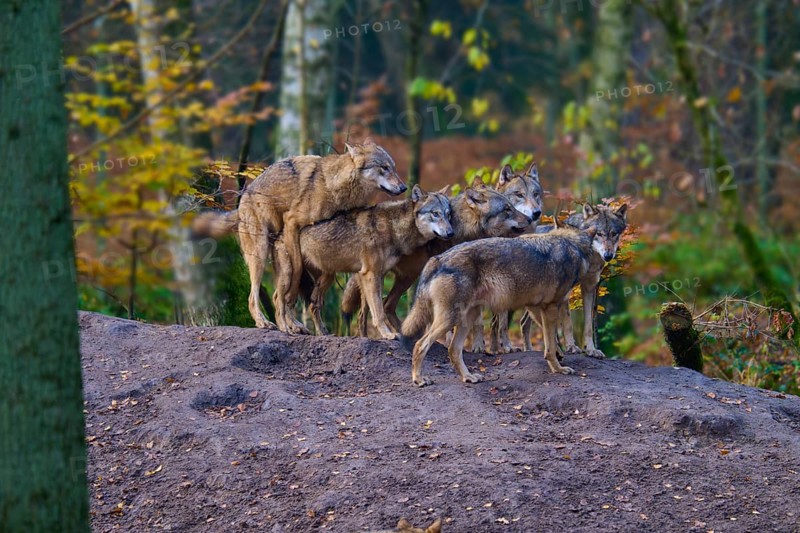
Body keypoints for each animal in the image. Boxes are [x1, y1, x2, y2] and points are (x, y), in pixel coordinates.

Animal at [192, 141, 406, 330]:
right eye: (384, 168)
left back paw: (293, 324)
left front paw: (292, 319)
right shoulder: (292, 223)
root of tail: (242, 199)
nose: (404, 187)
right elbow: (295, 272)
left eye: (394, 168)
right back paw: (265, 322)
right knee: (253, 296)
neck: (332, 185)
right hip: (259, 254)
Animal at [272, 185, 453, 338]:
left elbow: (373, 309)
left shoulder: (377, 275)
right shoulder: (370, 274)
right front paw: (387, 335)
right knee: (279, 299)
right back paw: (287, 328)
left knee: (311, 304)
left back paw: (322, 333)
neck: (392, 228)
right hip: (291, 274)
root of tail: (278, 232)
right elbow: (378, 311)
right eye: (435, 213)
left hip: (326, 278)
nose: (451, 232)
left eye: (448, 214)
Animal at [339, 182, 533, 336]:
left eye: (511, 206)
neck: (461, 227)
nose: (531, 218)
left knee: (385, 306)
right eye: (507, 209)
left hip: (404, 278)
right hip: (382, 277)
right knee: (367, 312)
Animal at [400, 223, 605, 387]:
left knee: (453, 350)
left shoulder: (536, 307)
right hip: (451, 319)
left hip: (466, 318)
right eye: (598, 248)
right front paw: (559, 368)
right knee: (420, 344)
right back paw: (419, 379)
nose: (607, 259)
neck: (573, 248)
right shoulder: (550, 307)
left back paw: (469, 377)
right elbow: (550, 345)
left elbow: (550, 341)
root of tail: (437, 258)